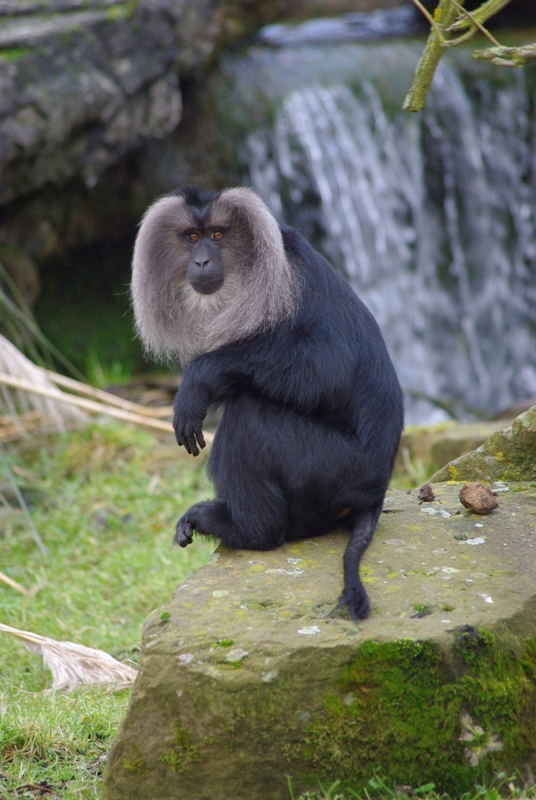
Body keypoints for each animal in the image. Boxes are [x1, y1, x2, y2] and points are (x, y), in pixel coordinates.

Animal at [131, 185, 404, 620]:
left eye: (218, 235)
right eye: (192, 237)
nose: (202, 260)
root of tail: (376, 490)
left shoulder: (295, 280)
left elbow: (328, 367)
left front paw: (196, 383)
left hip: (333, 468)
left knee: (250, 413)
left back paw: (248, 531)